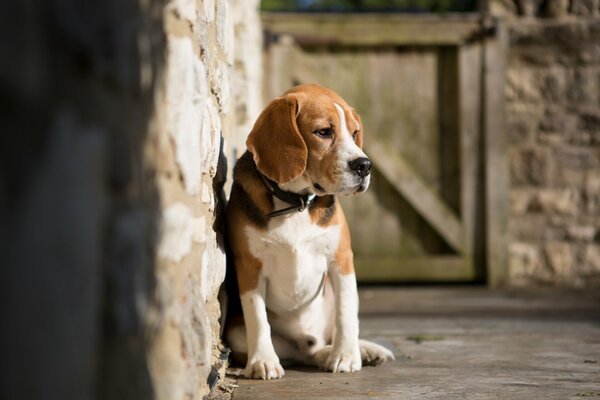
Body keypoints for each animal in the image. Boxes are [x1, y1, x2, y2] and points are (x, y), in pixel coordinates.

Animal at [225, 83, 394, 378]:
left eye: (354, 133)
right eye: (324, 132)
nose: (365, 165)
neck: (297, 204)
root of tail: (308, 340)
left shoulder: (341, 259)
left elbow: (347, 313)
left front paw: (346, 356)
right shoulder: (249, 266)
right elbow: (257, 317)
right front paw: (262, 361)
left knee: (328, 337)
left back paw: (360, 351)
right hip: (237, 332)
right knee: (302, 353)